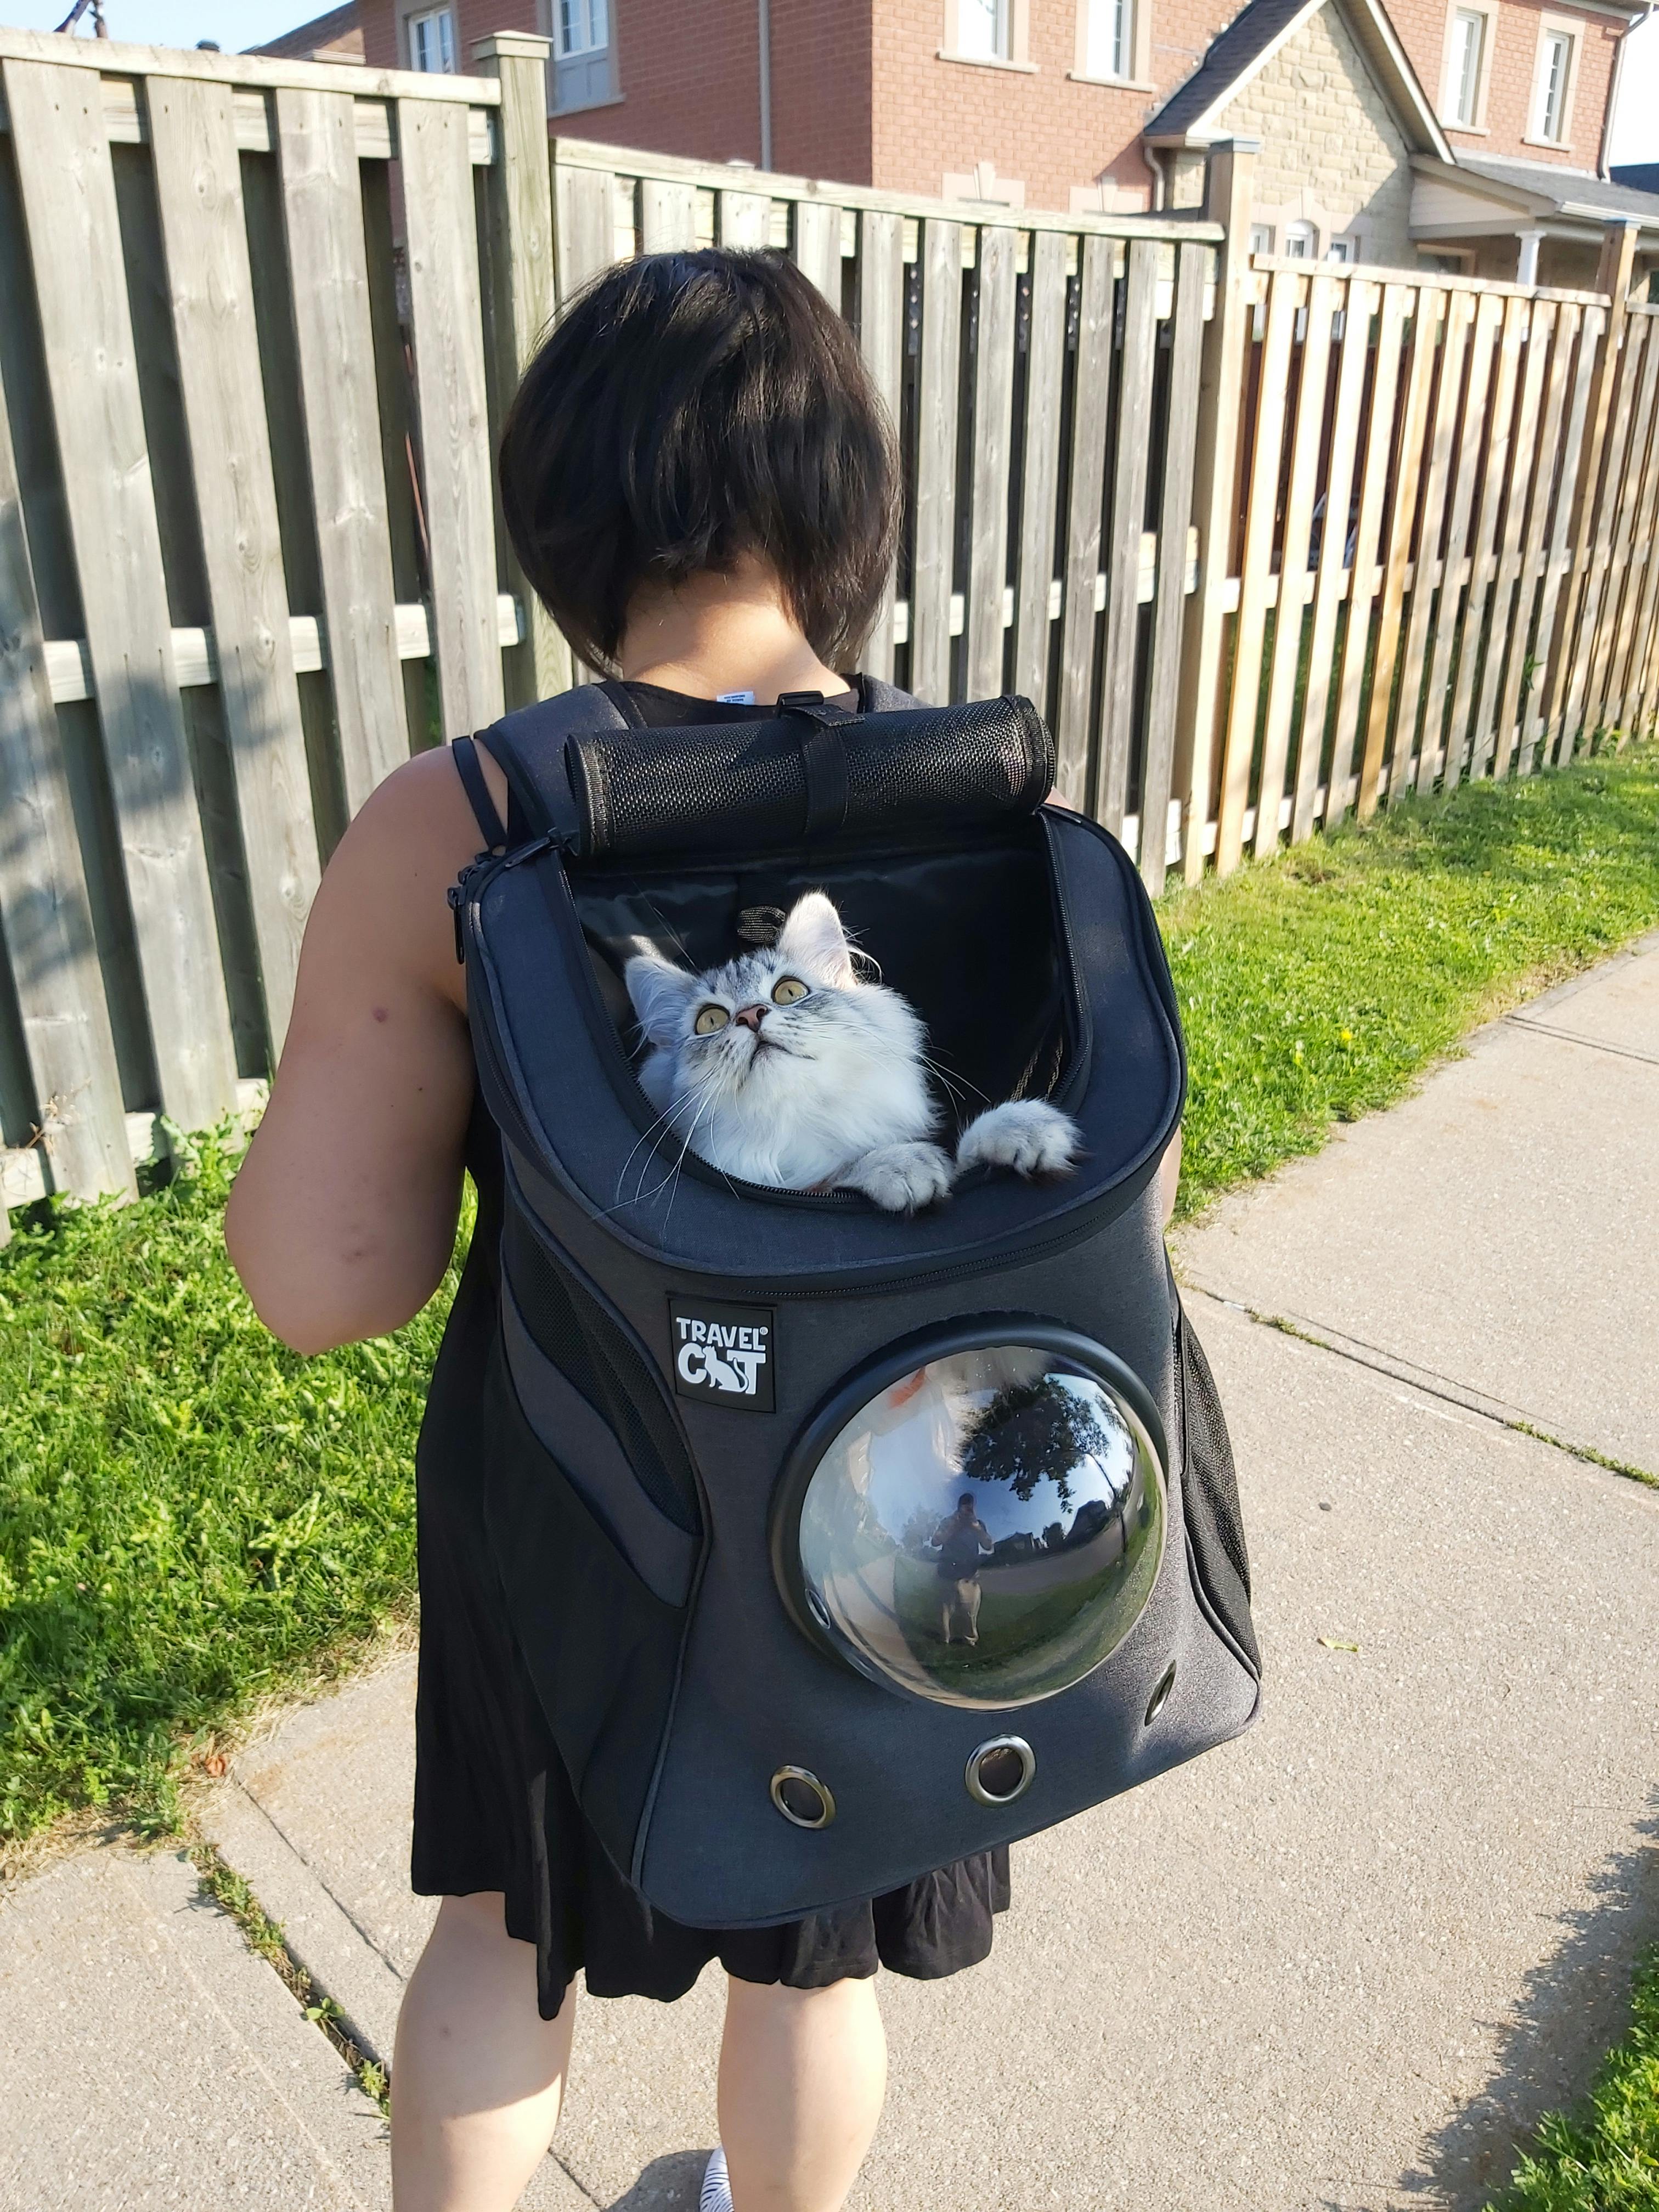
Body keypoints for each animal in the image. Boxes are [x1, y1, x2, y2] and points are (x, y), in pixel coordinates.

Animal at [619, 889, 1079, 1221]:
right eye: (710, 1020)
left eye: (789, 992)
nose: (751, 1016)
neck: (793, 1125)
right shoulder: (796, 1186)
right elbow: (832, 1178)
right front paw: (900, 1164)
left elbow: (962, 1156)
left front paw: (1025, 1127)